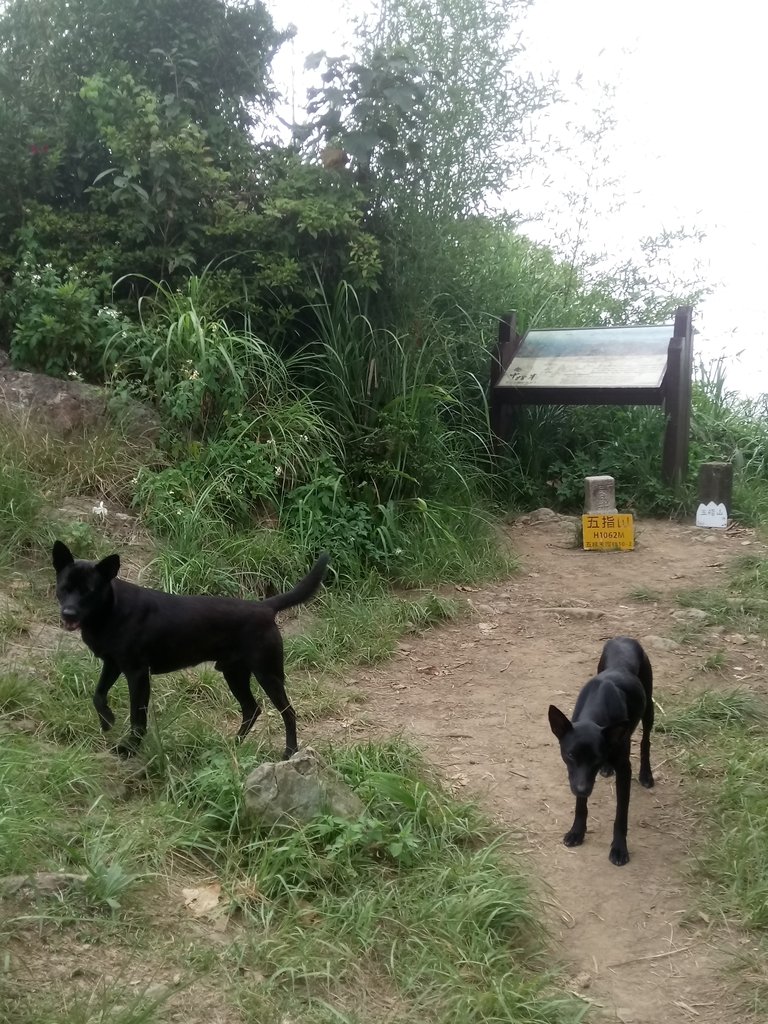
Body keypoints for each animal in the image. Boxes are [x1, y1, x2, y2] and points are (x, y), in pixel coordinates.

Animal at [52, 540, 329, 757]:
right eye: (65, 588)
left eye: (88, 591)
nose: (68, 613)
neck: (111, 609)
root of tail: (265, 607)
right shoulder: (112, 664)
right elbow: (98, 695)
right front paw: (108, 721)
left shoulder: (137, 673)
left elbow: (137, 717)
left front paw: (129, 749)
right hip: (234, 674)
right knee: (252, 709)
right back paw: (234, 746)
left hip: (267, 674)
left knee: (288, 712)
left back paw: (289, 752)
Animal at [548, 638, 655, 864]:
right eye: (570, 755)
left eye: (596, 758)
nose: (581, 789)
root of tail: (625, 638)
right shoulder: (578, 776)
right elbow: (581, 806)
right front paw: (577, 832)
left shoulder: (624, 770)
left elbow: (621, 815)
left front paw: (619, 849)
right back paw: (607, 769)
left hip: (649, 707)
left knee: (646, 741)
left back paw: (646, 775)